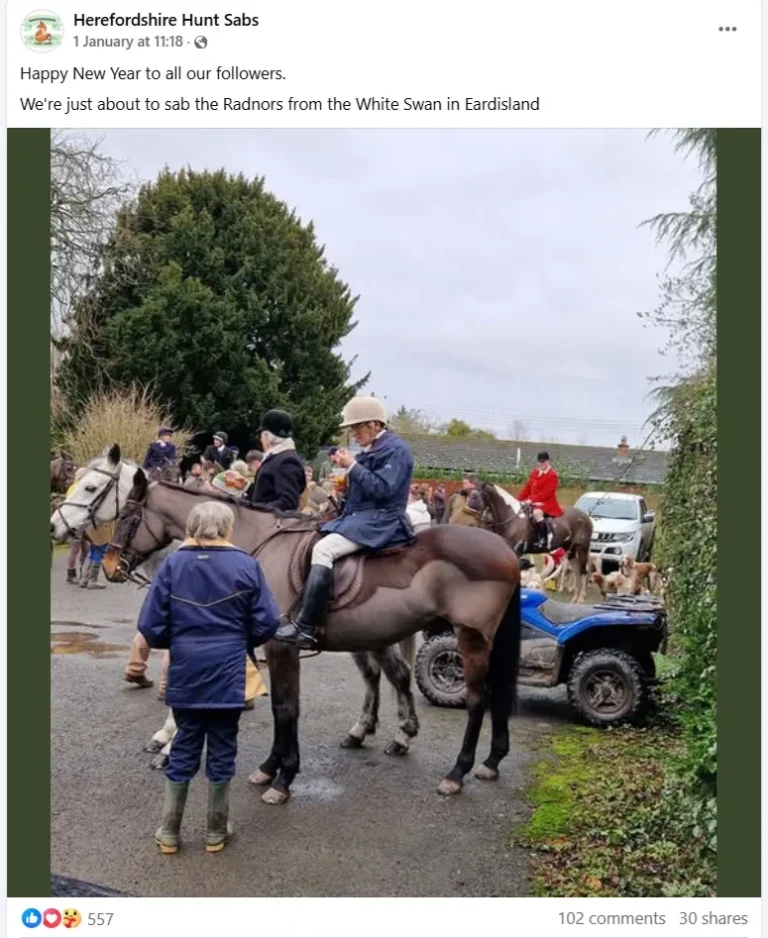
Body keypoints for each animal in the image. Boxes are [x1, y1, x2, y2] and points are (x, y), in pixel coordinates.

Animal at [102, 472, 520, 800]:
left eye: (128, 516)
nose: (108, 565)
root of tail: (505, 549)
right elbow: (277, 706)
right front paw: (270, 767)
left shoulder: (281, 646)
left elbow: (285, 708)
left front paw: (282, 776)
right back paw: (488, 760)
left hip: (470, 639)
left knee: (477, 700)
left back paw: (457, 772)